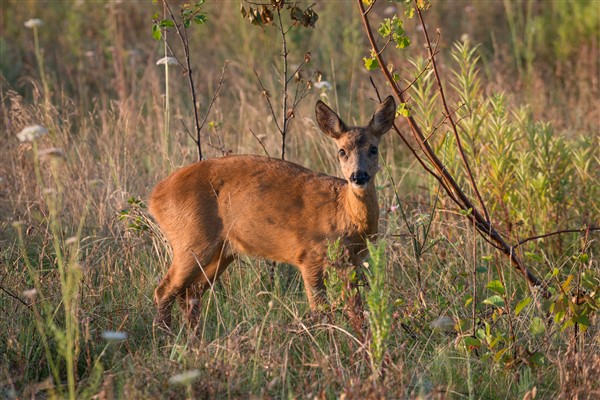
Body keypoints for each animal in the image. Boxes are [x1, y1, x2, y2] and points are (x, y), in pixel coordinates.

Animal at [149, 96, 394, 328]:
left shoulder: (352, 261)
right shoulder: (310, 254)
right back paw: (165, 336)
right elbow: (320, 310)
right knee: (165, 290)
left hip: (222, 252)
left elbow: (357, 310)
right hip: (191, 241)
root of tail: (155, 196)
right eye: (341, 151)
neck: (342, 214)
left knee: (190, 294)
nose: (358, 176)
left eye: (373, 149)